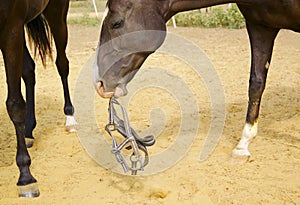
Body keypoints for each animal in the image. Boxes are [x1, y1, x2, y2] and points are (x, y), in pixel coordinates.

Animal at [0, 0, 77, 199]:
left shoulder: (11, 28)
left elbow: (15, 104)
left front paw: (26, 177)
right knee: (29, 70)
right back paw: (28, 131)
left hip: (56, 14)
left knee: (62, 64)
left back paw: (70, 119)